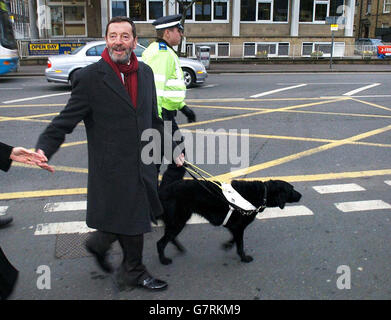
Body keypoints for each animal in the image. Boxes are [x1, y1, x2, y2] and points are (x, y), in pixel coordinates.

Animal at [157, 180, 304, 264]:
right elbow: (240, 244)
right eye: (291, 189)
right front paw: (244, 258)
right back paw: (163, 260)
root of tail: (161, 192)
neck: (262, 193)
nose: (301, 195)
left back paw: (179, 248)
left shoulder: (234, 226)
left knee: (170, 237)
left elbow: (234, 239)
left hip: (179, 221)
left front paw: (227, 245)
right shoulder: (238, 227)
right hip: (178, 220)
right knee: (161, 242)